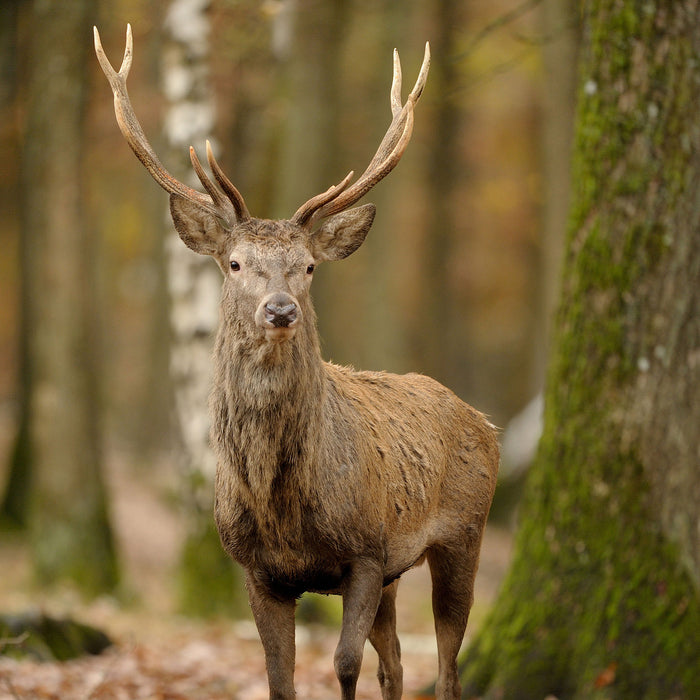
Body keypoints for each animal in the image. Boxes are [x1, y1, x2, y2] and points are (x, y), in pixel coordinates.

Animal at [94, 23, 498, 700]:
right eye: (235, 263)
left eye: (308, 267)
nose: (280, 308)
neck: (283, 505)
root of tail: (485, 421)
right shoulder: (259, 569)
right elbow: (280, 679)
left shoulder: (366, 551)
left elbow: (344, 665)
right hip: (400, 572)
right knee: (398, 664)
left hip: (465, 533)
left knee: (446, 667)